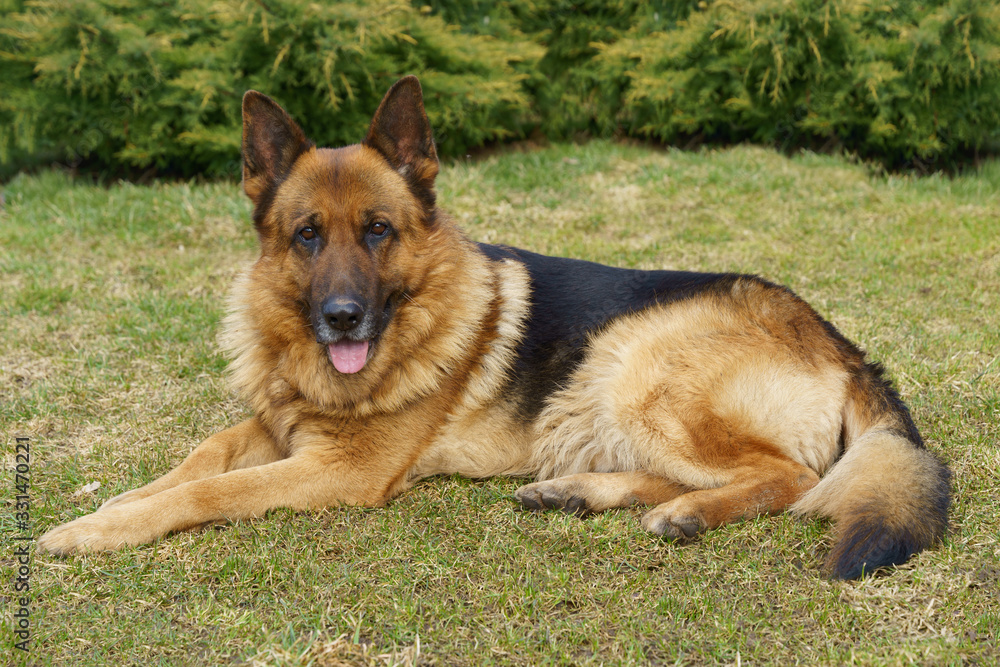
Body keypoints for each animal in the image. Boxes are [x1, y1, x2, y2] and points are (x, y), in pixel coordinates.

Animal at [39, 75, 948, 576]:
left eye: (379, 230)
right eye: (306, 236)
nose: (342, 319)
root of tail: (848, 349)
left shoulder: (339, 468)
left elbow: (210, 489)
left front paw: (100, 528)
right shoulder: (280, 422)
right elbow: (197, 458)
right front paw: (112, 502)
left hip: (640, 365)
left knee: (790, 478)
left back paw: (684, 513)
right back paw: (581, 492)